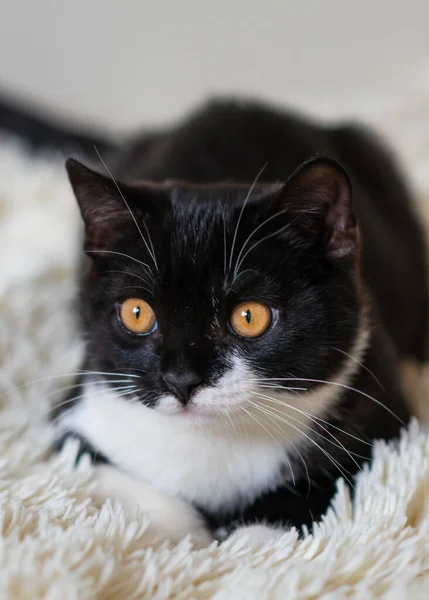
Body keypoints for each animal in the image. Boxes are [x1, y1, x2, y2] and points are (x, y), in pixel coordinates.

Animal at [2, 96, 424, 548]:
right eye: (137, 313)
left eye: (250, 316)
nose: (180, 379)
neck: (215, 442)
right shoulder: (81, 410)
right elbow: (102, 467)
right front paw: (184, 538)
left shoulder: (380, 414)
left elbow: (337, 479)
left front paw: (250, 540)